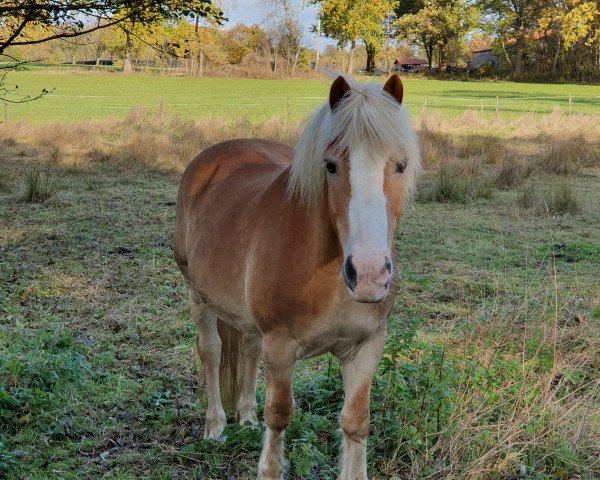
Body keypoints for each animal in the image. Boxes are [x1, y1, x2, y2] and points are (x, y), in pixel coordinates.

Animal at [172, 75, 418, 480]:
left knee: (249, 350)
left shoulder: (367, 348)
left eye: (400, 164)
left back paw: (246, 416)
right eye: (330, 165)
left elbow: (356, 421)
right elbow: (280, 415)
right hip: (199, 296)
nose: (368, 274)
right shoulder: (281, 347)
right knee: (211, 352)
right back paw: (216, 426)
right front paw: (268, 467)